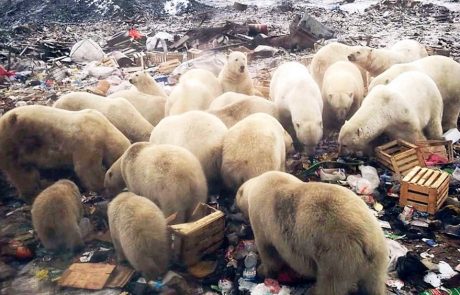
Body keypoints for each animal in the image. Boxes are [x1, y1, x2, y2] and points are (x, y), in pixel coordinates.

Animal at [0, 106, 129, 201]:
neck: (104, 129)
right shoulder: (88, 141)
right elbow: (87, 169)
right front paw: (103, 188)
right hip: (13, 144)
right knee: (23, 173)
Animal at [237, 171, 388, 295]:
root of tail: (367, 242)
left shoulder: (261, 219)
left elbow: (269, 251)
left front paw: (262, 271)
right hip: (377, 259)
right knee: (373, 285)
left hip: (337, 257)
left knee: (330, 285)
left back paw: (313, 290)